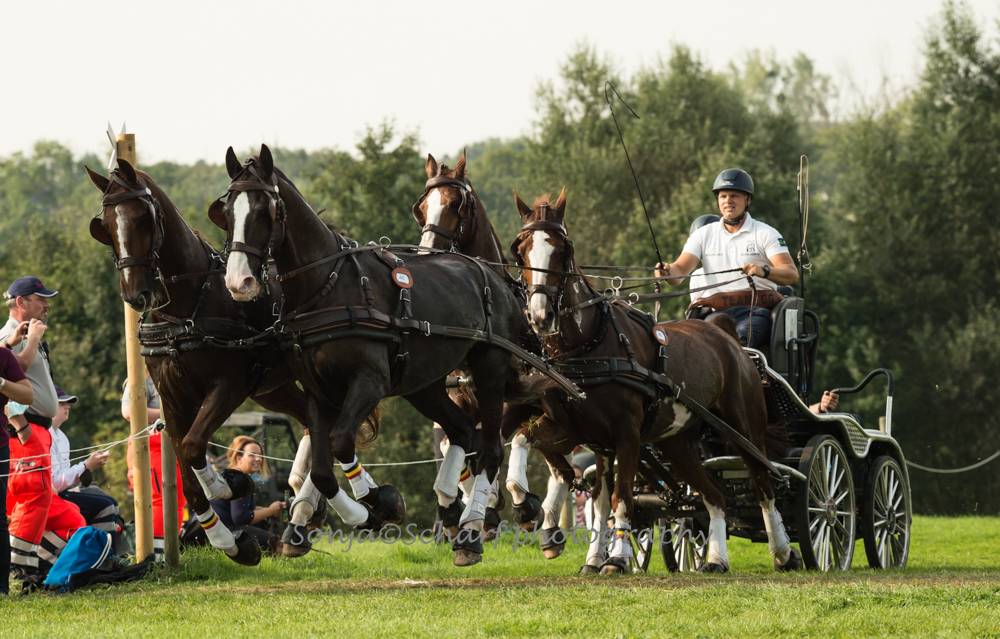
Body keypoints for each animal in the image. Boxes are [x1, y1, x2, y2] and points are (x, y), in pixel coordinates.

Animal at [212, 144, 530, 566]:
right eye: (228, 211)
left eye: (266, 210)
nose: (239, 282)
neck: (329, 287)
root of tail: (491, 273)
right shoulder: (319, 393)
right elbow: (321, 469)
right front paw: (360, 514)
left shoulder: (370, 381)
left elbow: (341, 442)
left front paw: (379, 502)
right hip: (424, 383)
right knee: (463, 429)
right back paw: (451, 510)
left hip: (489, 369)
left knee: (491, 450)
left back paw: (471, 532)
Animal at [412, 153, 578, 558]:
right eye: (422, 208)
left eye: (457, 205)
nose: (427, 253)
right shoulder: (458, 400)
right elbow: (460, 447)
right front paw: (470, 511)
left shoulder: (507, 401)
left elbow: (491, 447)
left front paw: (497, 507)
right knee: (564, 468)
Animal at [511, 190, 801, 574]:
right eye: (521, 250)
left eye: (563, 248)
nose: (540, 315)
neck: (590, 344)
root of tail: (727, 336)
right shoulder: (583, 434)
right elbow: (529, 444)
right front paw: (526, 507)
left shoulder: (627, 434)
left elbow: (620, 498)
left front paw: (617, 559)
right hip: (677, 443)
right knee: (715, 496)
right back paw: (716, 559)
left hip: (744, 427)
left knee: (764, 483)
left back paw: (783, 552)